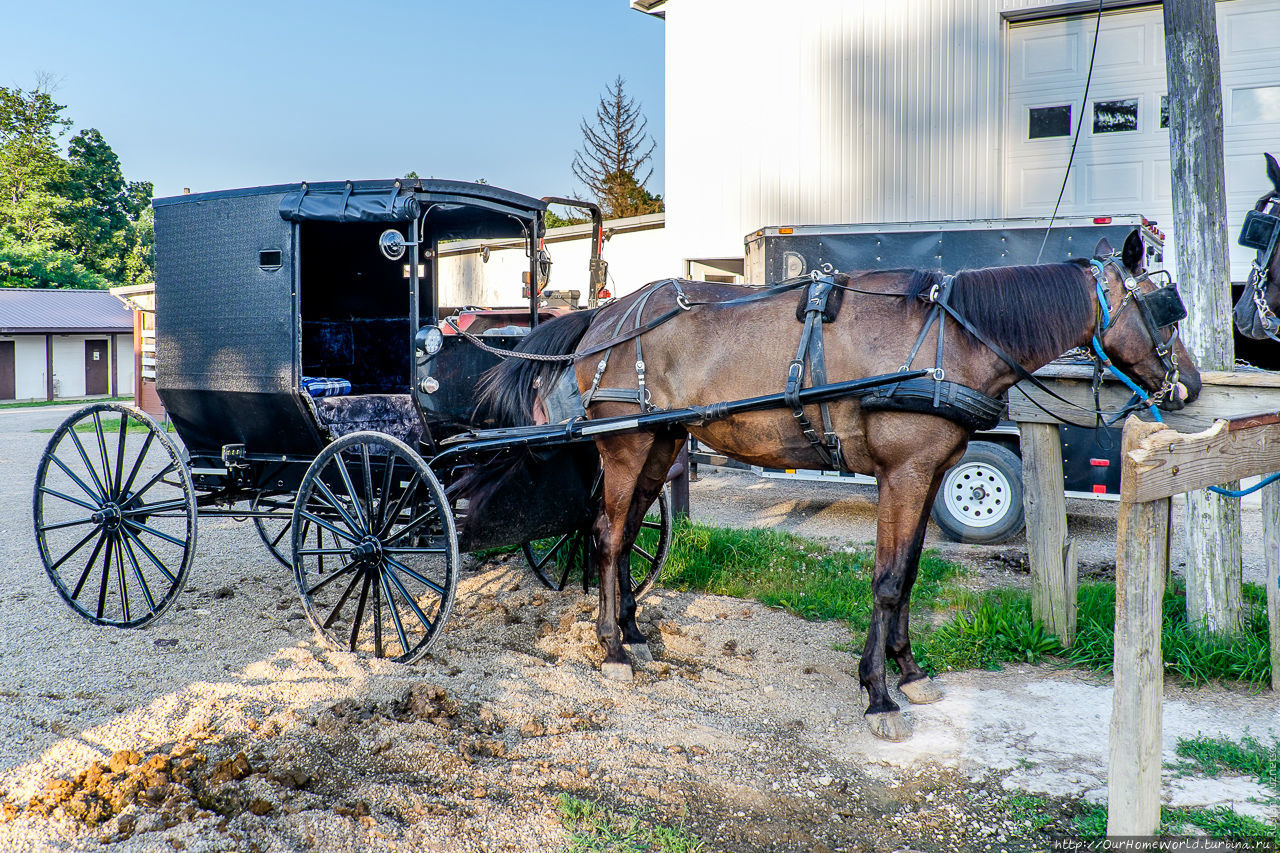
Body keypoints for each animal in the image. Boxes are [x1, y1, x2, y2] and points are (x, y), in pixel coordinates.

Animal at [478, 230, 1198, 737]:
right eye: (1164, 311)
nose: (1187, 385)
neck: (952, 339)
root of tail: (605, 316)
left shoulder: (928, 473)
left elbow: (908, 572)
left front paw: (909, 672)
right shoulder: (903, 473)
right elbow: (887, 580)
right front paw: (878, 693)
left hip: (662, 442)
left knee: (626, 535)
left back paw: (630, 633)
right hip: (626, 446)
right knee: (605, 535)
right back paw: (611, 648)